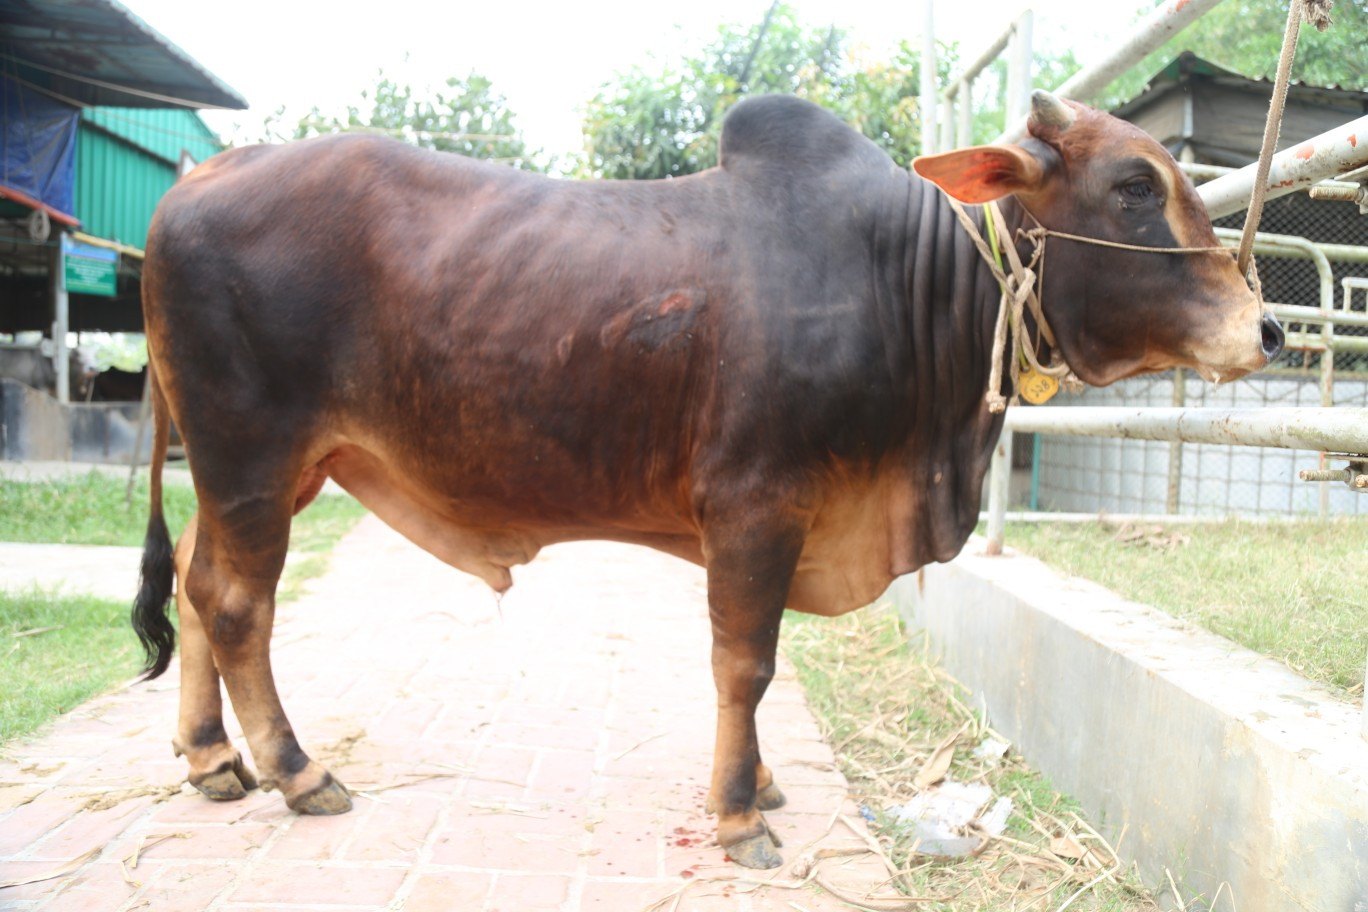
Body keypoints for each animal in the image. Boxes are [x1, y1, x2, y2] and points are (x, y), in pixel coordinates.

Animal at [132, 91, 1283, 869]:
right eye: (1133, 185)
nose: (1265, 327)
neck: (904, 280)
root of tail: (200, 177)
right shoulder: (756, 505)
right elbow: (746, 663)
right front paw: (737, 813)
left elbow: (756, 664)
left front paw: (763, 785)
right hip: (253, 460)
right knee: (236, 606)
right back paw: (297, 770)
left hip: (260, 474)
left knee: (194, 580)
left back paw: (212, 760)